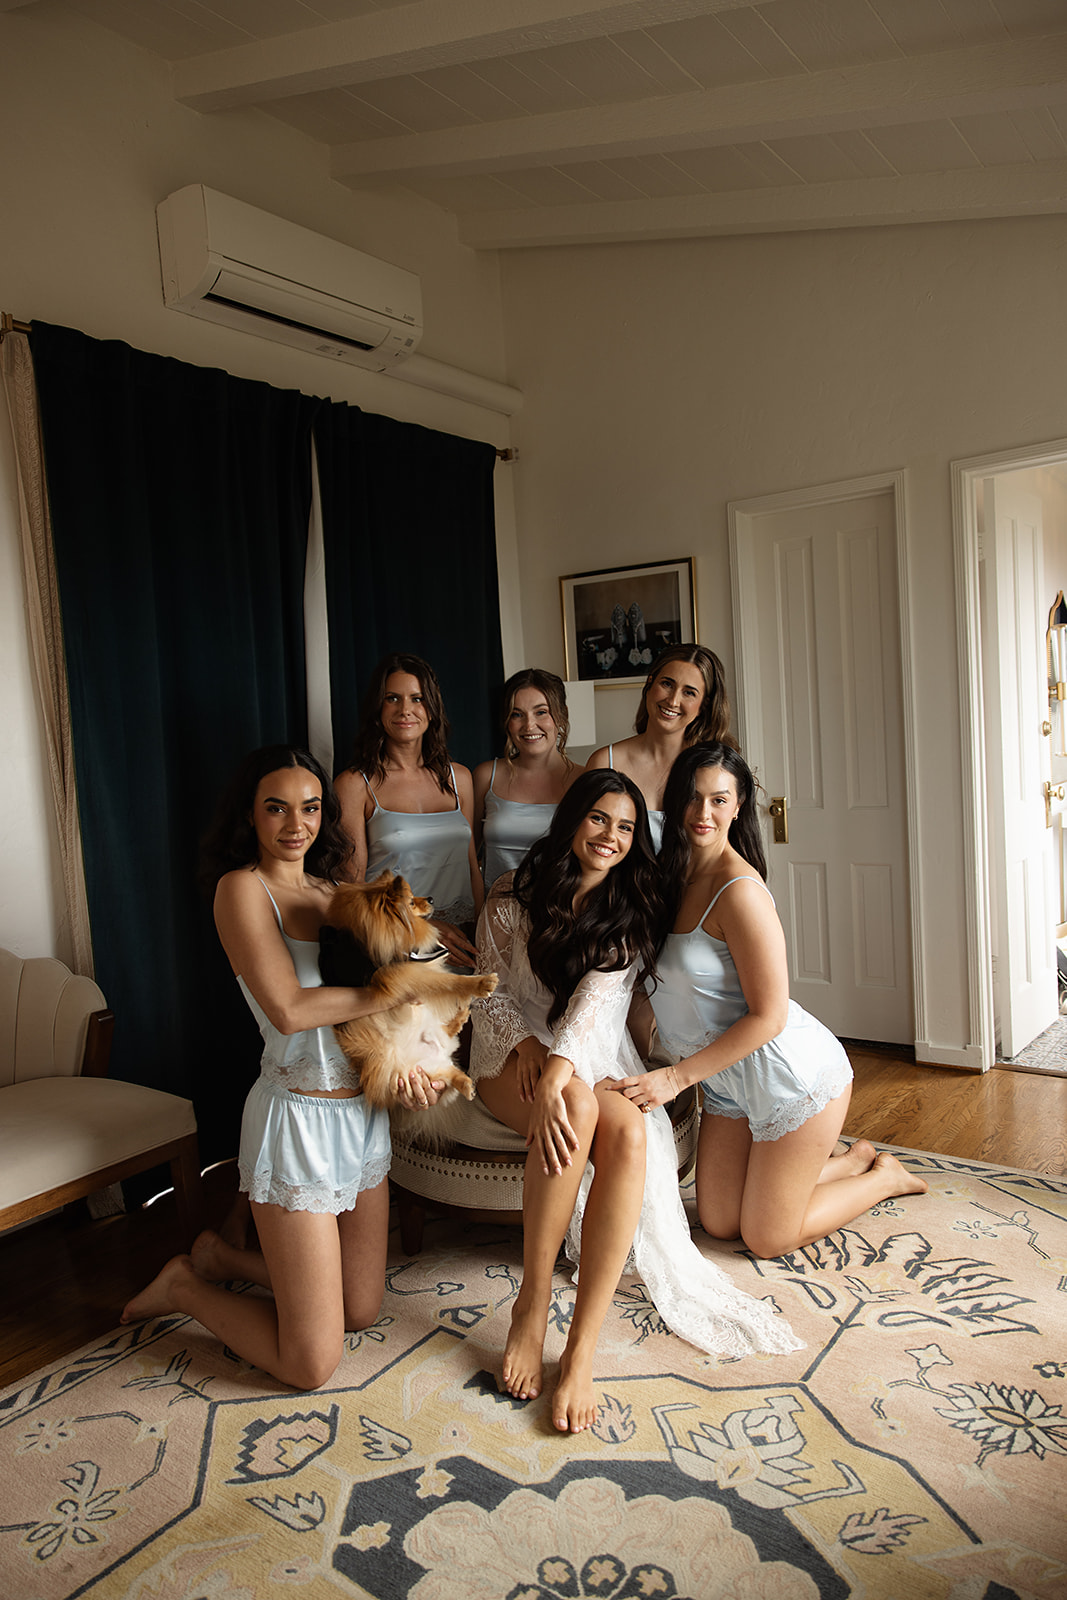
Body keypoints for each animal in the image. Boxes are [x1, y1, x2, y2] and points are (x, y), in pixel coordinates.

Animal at [321, 876, 495, 1113]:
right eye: (411, 902)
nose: (431, 898)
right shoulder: (406, 977)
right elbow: (449, 982)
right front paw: (481, 983)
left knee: (448, 1043)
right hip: (412, 1074)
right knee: (448, 1072)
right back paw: (466, 1081)